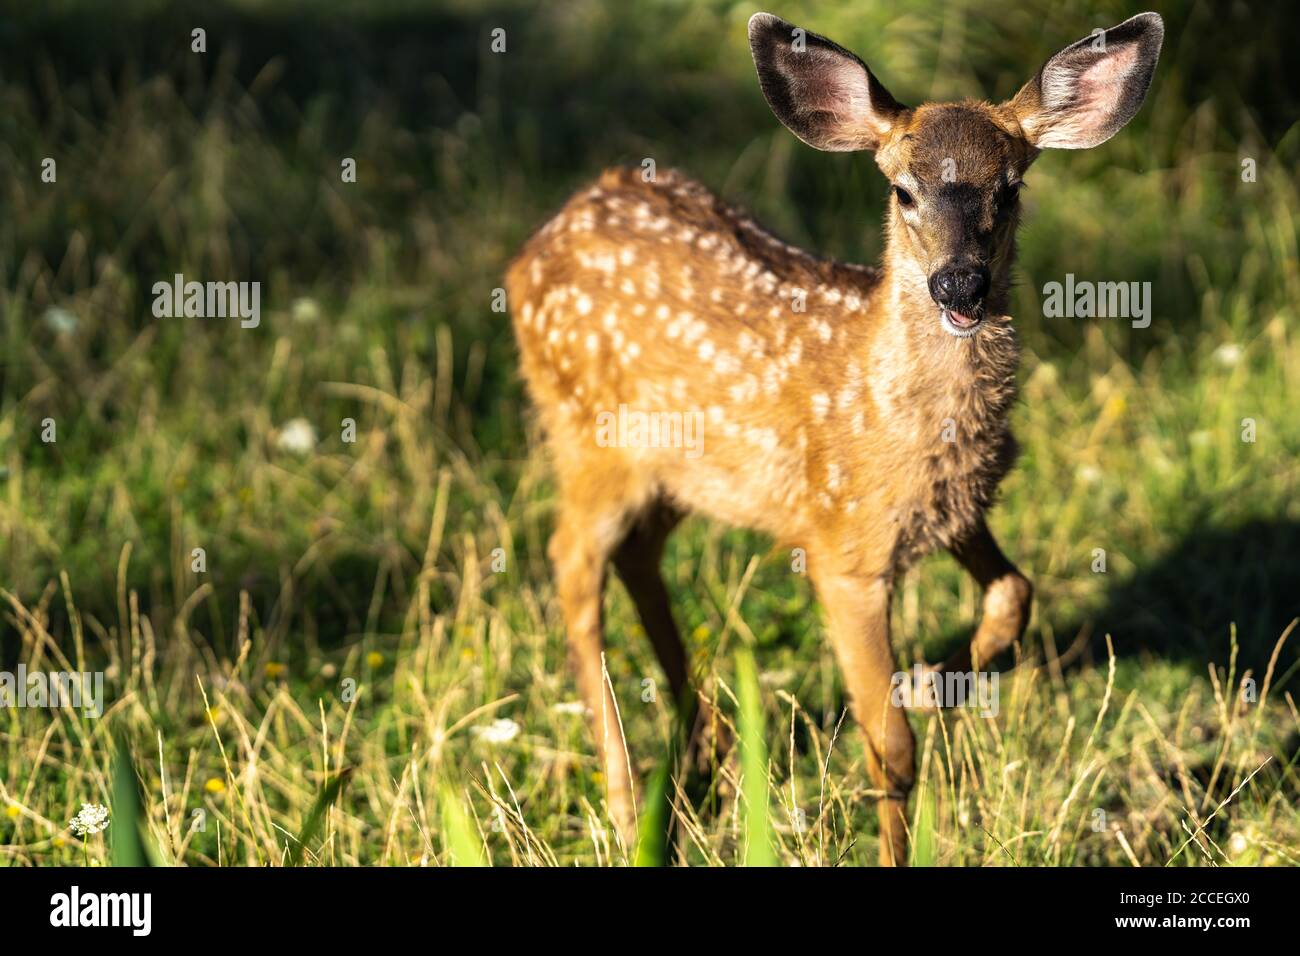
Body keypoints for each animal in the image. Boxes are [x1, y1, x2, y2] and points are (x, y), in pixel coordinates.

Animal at [504, 9, 1159, 868]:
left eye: (1011, 187)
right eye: (902, 189)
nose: (959, 284)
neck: (890, 408)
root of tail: (536, 242)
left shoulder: (953, 510)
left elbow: (1016, 593)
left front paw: (929, 680)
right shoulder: (843, 548)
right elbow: (893, 747)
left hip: (677, 472)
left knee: (639, 557)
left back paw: (706, 749)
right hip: (586, 439)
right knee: (573, 569)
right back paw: (624, 808)